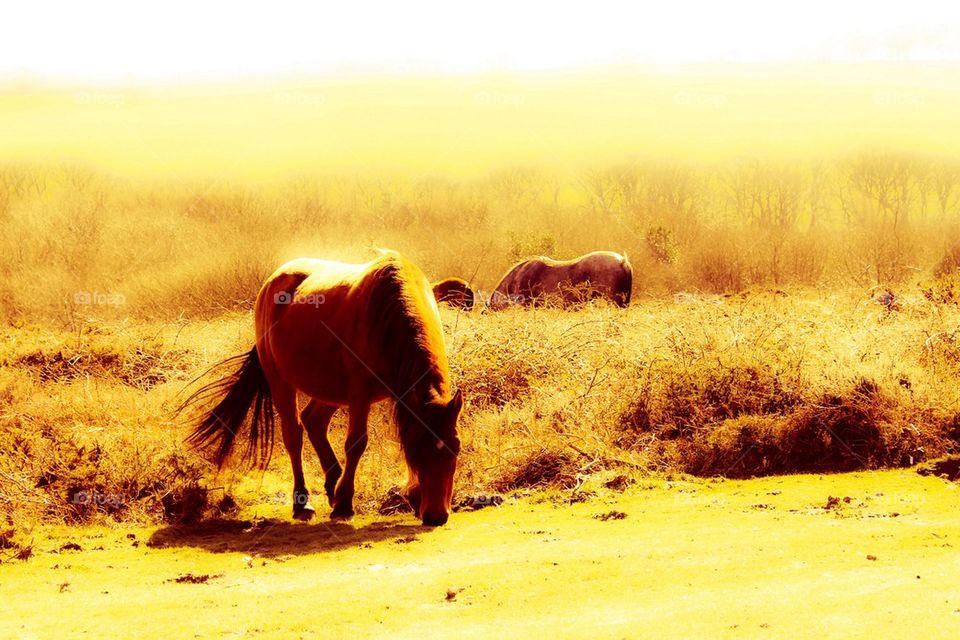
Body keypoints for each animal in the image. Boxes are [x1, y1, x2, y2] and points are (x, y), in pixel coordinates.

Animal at [181, 251, 463, 526]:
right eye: (419, 448)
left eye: (456, 448)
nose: (437, 516)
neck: (386, 312)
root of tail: (273, 282)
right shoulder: (359, 394)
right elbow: (356, 443)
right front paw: (345, 505)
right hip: (281, 382)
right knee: (293, 435)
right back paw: (303, 504)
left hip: (330, 389)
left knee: (313, 420)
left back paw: (332, 485)